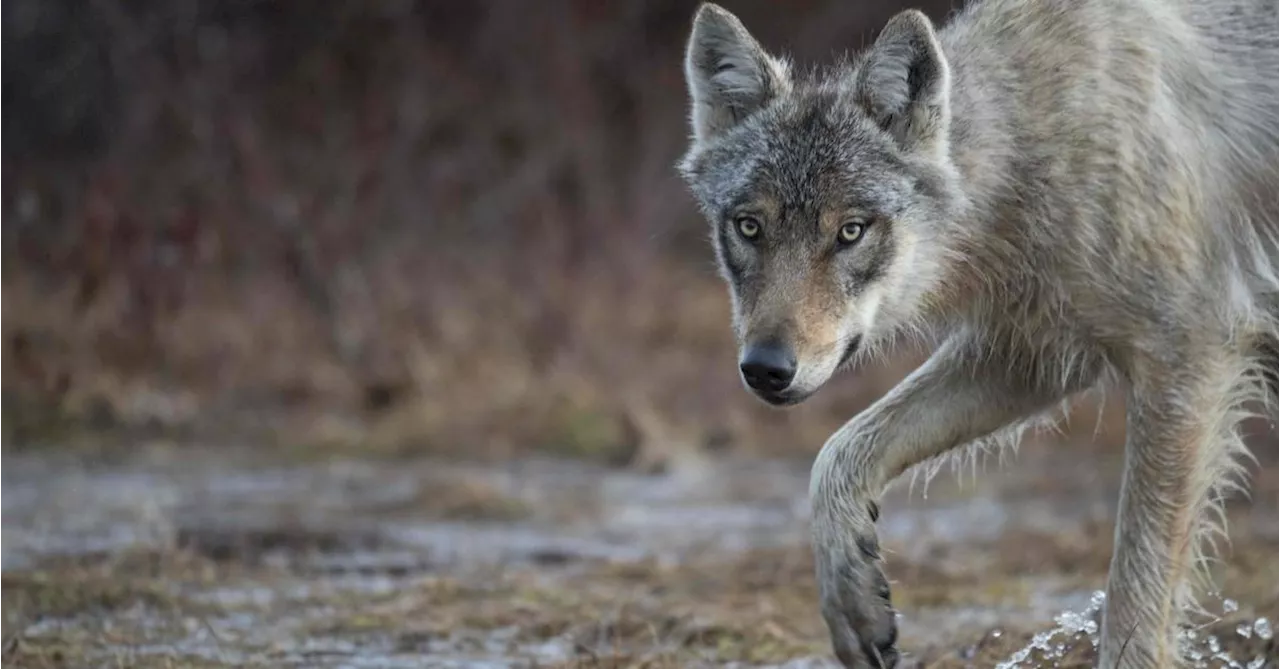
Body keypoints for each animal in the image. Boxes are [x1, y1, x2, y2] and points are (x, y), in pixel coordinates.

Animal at [680, 0, 1280, 665]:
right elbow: (836, 454)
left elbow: (1135, 597)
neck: (1037, 146)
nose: (765, 367)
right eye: (749, 227)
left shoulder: (1187, 359)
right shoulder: (1032, 355)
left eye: (851, 231)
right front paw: (854, 604)